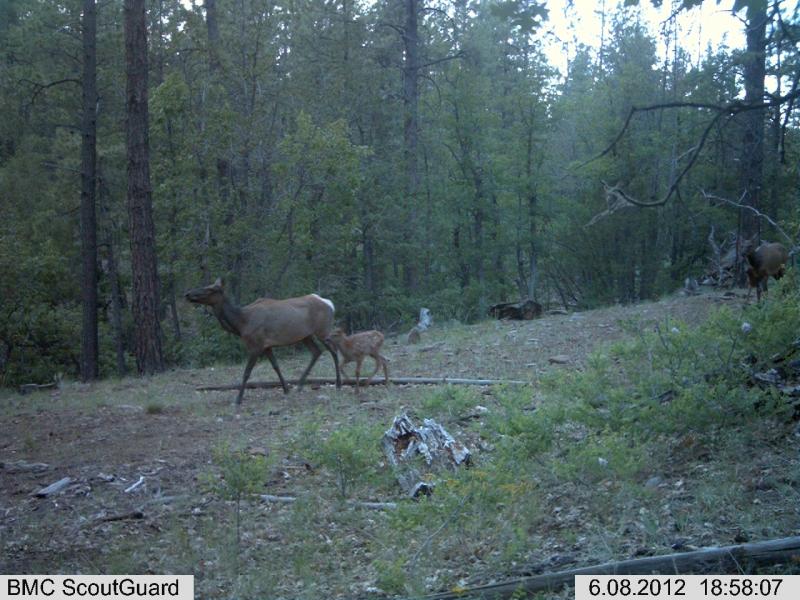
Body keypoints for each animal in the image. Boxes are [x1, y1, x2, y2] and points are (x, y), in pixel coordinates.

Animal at [185, 280, 340, 404]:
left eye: (210, 289)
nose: (187, 294)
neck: (241, 324)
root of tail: (330, 304)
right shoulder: (266, 346)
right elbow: (276, 366)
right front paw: (286, 389)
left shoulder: (255, 345)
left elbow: (247, 372)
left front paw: (238, 399)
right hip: (305, 336)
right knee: (316, 351)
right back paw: (300, 385)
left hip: (323, 330)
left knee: (333, 351)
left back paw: (338, 383)